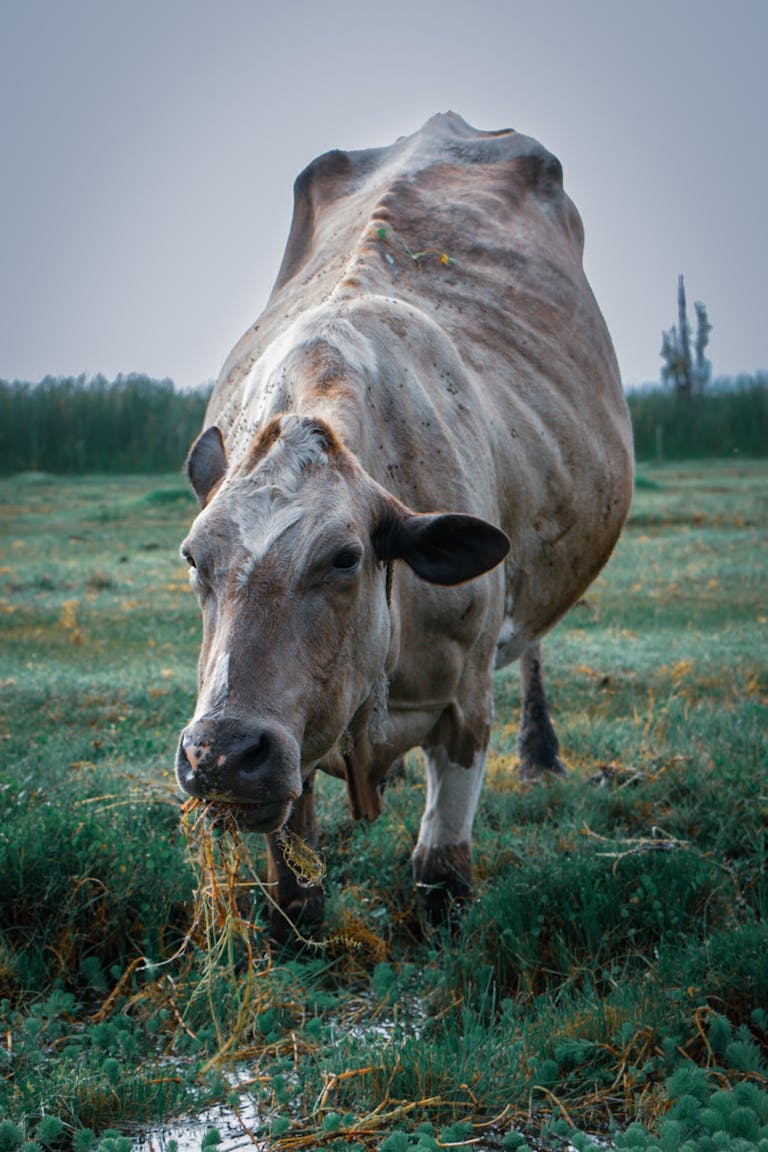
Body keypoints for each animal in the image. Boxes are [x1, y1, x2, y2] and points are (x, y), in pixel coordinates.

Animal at [175, 112, 634, 929]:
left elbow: (441, 874)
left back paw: (541, 754)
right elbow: (296, 891)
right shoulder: (294, 741)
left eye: (345, 557)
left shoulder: (465, 704)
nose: (220, 755)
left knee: (534, 647)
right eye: (195, 558)